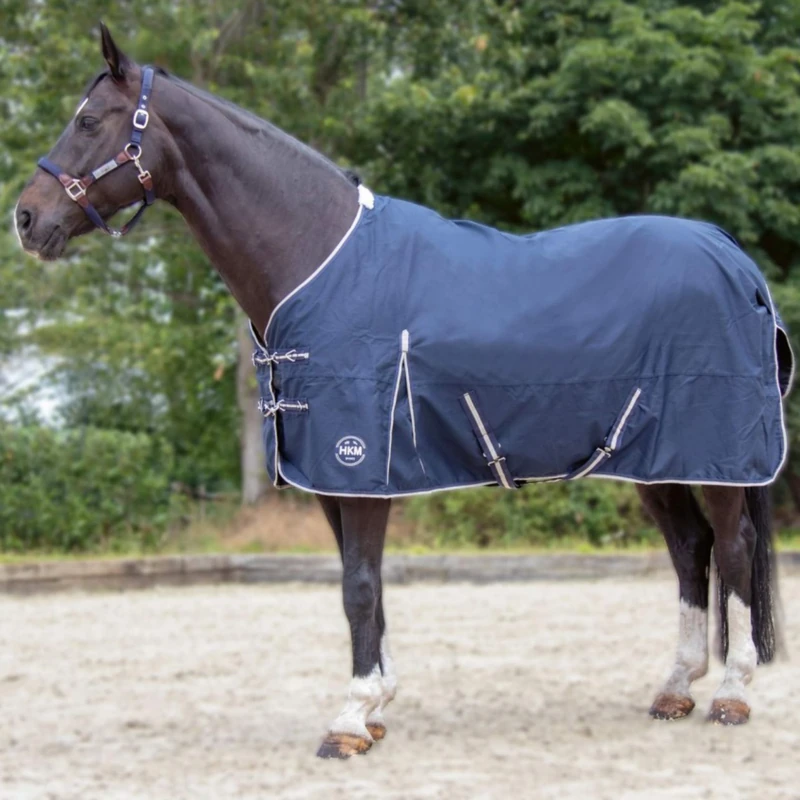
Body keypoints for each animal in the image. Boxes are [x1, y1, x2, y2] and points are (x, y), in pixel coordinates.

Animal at [15, 26, 792, 759]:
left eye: (89, 120)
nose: (26, 219)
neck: (319, 259)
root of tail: (733, 256)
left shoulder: (359, 464)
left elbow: (359, 586)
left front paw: (350, 719)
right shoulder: (332, 477)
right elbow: (366, 585)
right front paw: (378, 706)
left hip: (717, 457)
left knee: (731, 547)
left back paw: (731, 693)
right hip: (652, 458)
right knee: (689, 547)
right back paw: (675, 687)